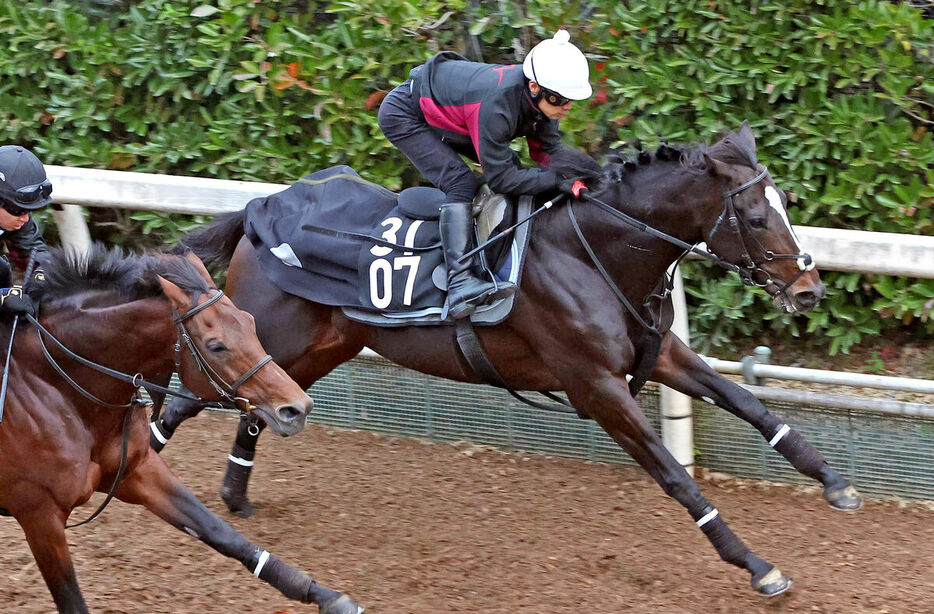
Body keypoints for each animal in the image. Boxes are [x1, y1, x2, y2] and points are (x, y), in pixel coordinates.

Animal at [0, 248, 364, 614]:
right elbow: (71, 599)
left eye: (250, 322)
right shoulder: (40, 517)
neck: (58, 389)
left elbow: (224, 535)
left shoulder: (137, 470)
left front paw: (327, 597)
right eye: (216, 345)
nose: (296, 408)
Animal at [159, 122, 864, 600]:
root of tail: (258, 211)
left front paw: (834, 483)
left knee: (259, 407)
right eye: (754, 215)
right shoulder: (595, 385)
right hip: (266, 342)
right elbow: (676, 478)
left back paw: (235, 493)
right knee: (185, 400)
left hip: (314, 351)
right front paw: (758, 566)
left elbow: (749, 404)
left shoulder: (659, 353)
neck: (594, 252)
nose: (809, 290)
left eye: (785, 206)